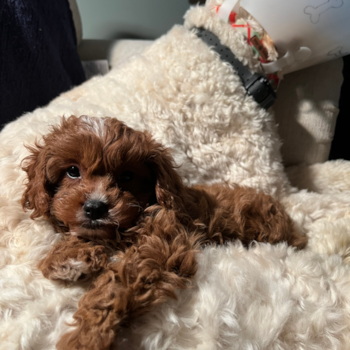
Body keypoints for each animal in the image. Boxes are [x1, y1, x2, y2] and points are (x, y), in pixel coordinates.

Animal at [21, 116, 306, 348]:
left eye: (126, 176)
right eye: (72, 171)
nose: (95, 207)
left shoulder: (163, 244)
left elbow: (116, 285)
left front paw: (88, 335)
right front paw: (66, 258)